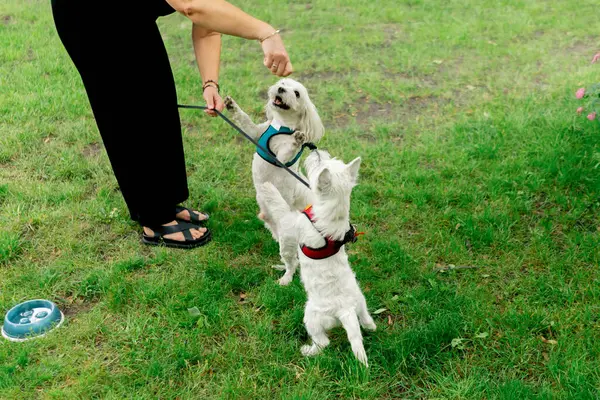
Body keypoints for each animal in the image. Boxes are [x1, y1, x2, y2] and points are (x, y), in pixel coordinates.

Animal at [258, 149, 376, 366]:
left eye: (320, 164)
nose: (315, 150)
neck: (333, 218)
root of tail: (346, 312)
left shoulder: (290, 226)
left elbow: (280, 209)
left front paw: (268, 187)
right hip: (360, 303)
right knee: (365, 322)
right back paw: (370, 326)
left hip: (312, 317)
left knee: (323, 342)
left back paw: (308, 351)